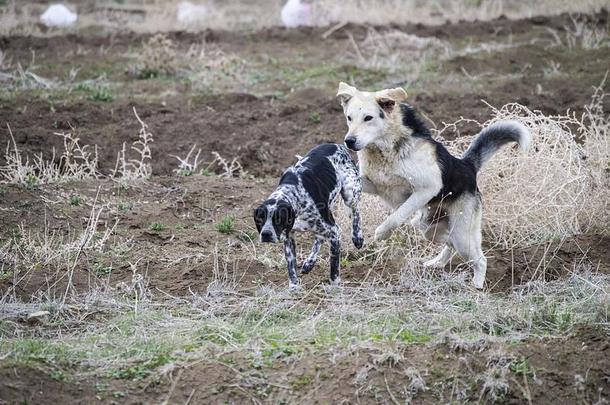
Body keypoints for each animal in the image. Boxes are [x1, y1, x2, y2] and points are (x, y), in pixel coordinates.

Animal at [254, 143, 364, 288]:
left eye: (278, 218)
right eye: (260, 218)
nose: (266, 234)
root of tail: (337, 145)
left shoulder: (335, 232)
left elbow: (334, 267)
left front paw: (334, 286)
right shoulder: (288, 237)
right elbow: (291, 267)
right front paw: (294, 287)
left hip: (349, 194)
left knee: (356, 211)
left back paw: (357, 236)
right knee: (319, 237)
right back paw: (309, 263)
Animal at [334, 82, 528, 288]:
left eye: (368, 118)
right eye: (349, 118)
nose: (349, 141)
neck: (384, 149)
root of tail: (467, 166)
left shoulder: (427, 188)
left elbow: (397, 215)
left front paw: (382, 233)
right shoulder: (374, 184)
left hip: (462, 234)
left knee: (479, 258)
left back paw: (476, 285)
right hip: (429, 229)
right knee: (449, 242)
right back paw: (437, 263)